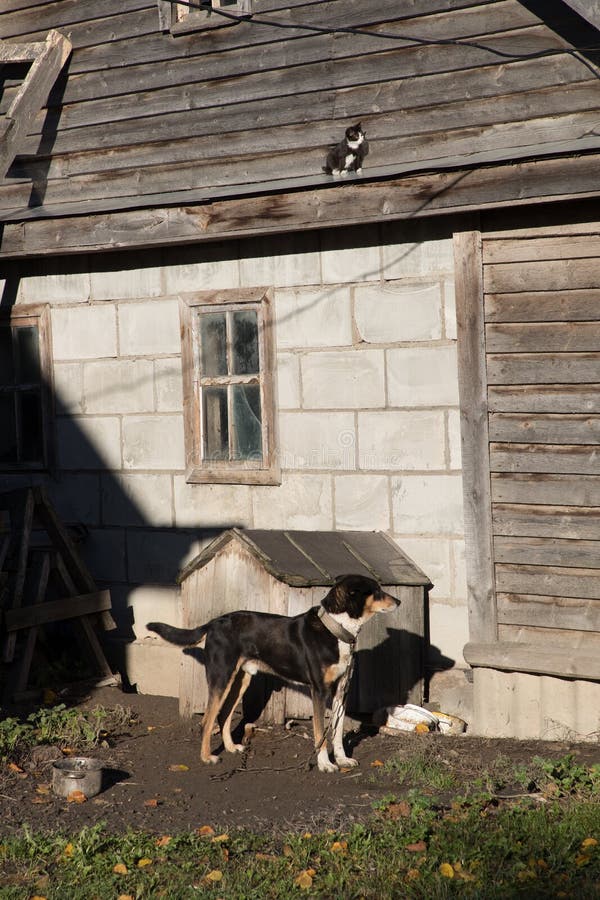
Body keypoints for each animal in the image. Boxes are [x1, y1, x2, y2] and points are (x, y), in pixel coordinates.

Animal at [146, 572, 398, 768]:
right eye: (376, 591)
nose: (398, 601)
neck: (335, 630)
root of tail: (214, 622)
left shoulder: (341, 692)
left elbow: (336, 732)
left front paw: (343, 760)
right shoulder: (319, 691)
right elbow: (320, 733)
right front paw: (325, 764)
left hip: (240, 680)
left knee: (224, 715)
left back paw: (231, 748)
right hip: (221, 678)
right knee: (207, 720)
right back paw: (207, 757)